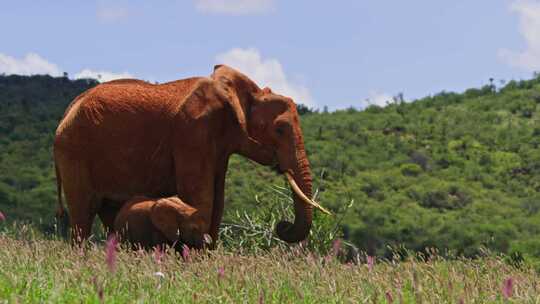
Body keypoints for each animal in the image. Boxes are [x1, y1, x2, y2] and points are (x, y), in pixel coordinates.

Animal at [54, 65, 326, 246]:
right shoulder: (192, 133)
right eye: (280, 130)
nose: (282, 225)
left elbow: (218, 200)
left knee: (110, 213)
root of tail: (67, 110)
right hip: (75, 152)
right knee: (83, 213)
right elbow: (201, 197)